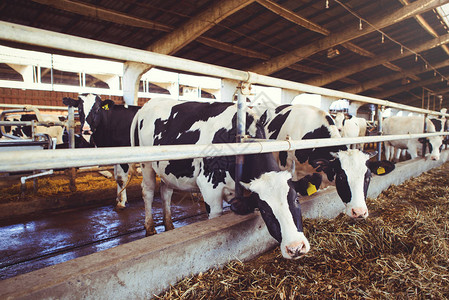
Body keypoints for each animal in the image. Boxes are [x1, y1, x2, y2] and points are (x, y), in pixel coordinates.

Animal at [131, 98, 310, 260]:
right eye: (264, 209)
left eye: (296, 200)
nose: (295, 247)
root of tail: (147, 104)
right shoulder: (209, 187)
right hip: (146, 163)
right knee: (148, 191)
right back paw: (150, 228)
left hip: (167, 171)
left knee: (166, 192)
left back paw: (168, 224)